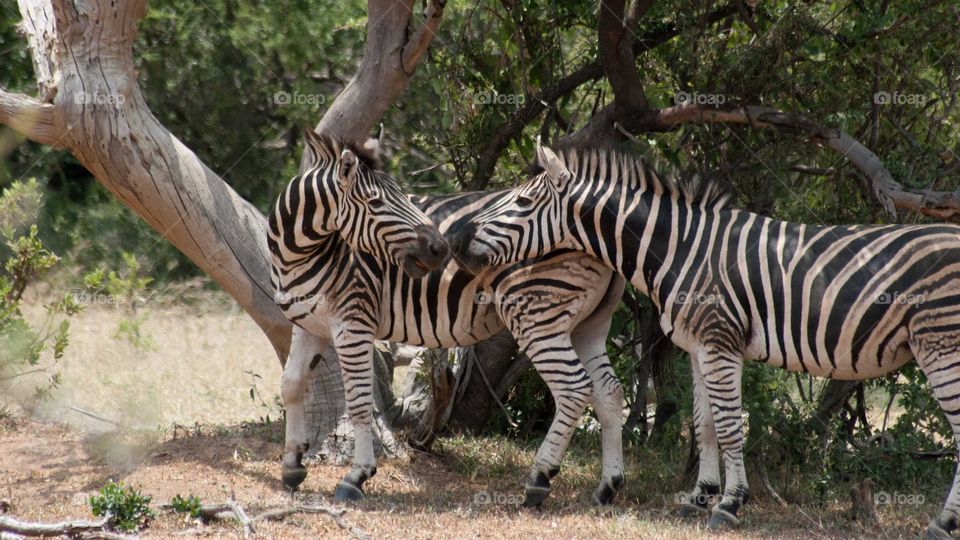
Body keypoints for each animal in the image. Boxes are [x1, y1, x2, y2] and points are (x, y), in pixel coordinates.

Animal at [268, 129, 627, 507]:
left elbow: (360, 401)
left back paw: (539, 481)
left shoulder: (354, 322)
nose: (441, 248)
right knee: (609, 392)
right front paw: (292, 466)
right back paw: (608, 486)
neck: (301, 253)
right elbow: (291, 386)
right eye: (375, 203)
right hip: (589, 325)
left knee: (574, 390)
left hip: (538, 317)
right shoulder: (308, 325)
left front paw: (357, 476)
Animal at [451, 139, 960, 538]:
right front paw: (700, 496)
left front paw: (730, 505)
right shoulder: (699, 346)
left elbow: (732, 425)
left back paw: (942, 523)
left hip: (941, 346)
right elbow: (705, 424)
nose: (458, 244)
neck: (682, 249)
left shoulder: (720, 342)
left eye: (521, 204)